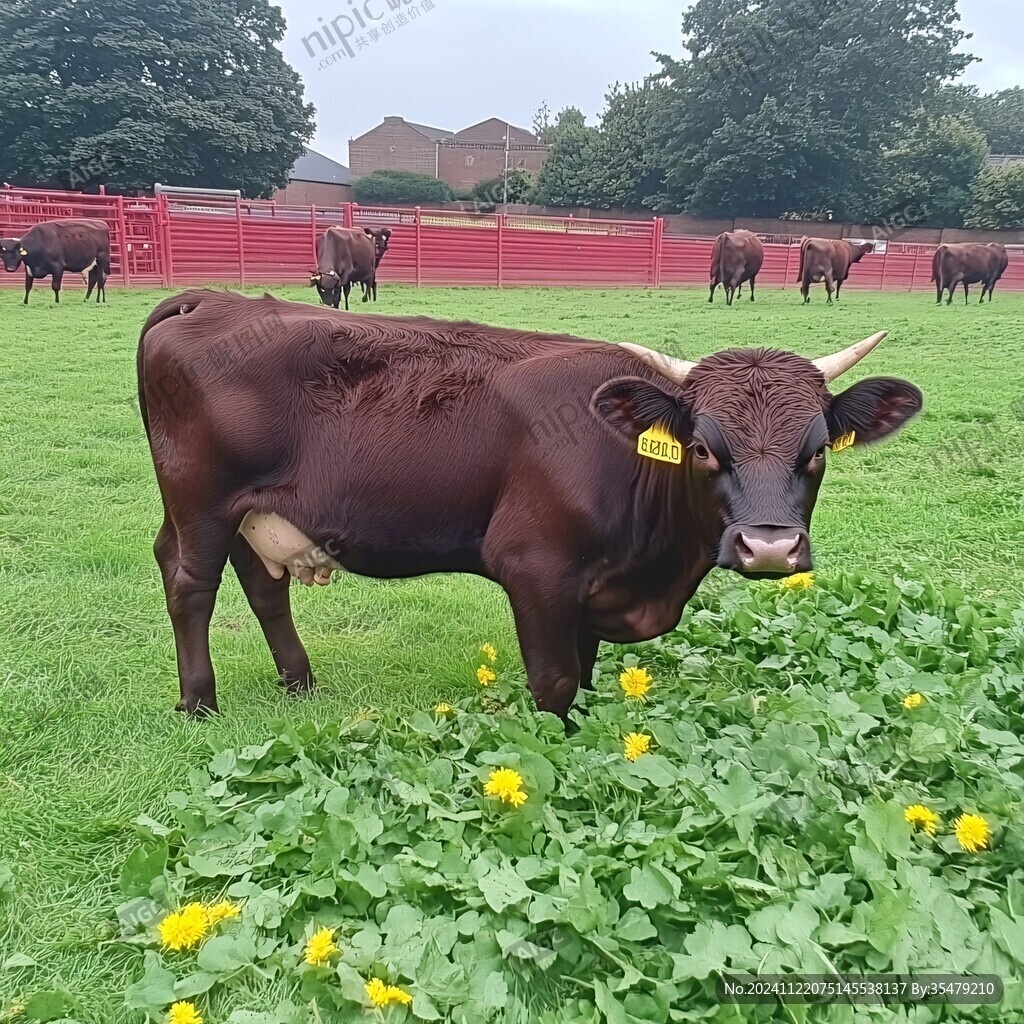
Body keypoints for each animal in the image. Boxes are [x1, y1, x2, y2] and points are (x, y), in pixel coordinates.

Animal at [138, 290, 921, 720]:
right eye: (702, 447)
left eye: (816, 450)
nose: (769, 548)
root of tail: (216, 299)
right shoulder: (537, 569)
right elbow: (557, 682)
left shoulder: (594, 589)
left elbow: (589, 672)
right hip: (201, 503)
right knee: (189, 583)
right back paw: (198, 702)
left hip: (251, 512)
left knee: (261, 585)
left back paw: (298, 682)